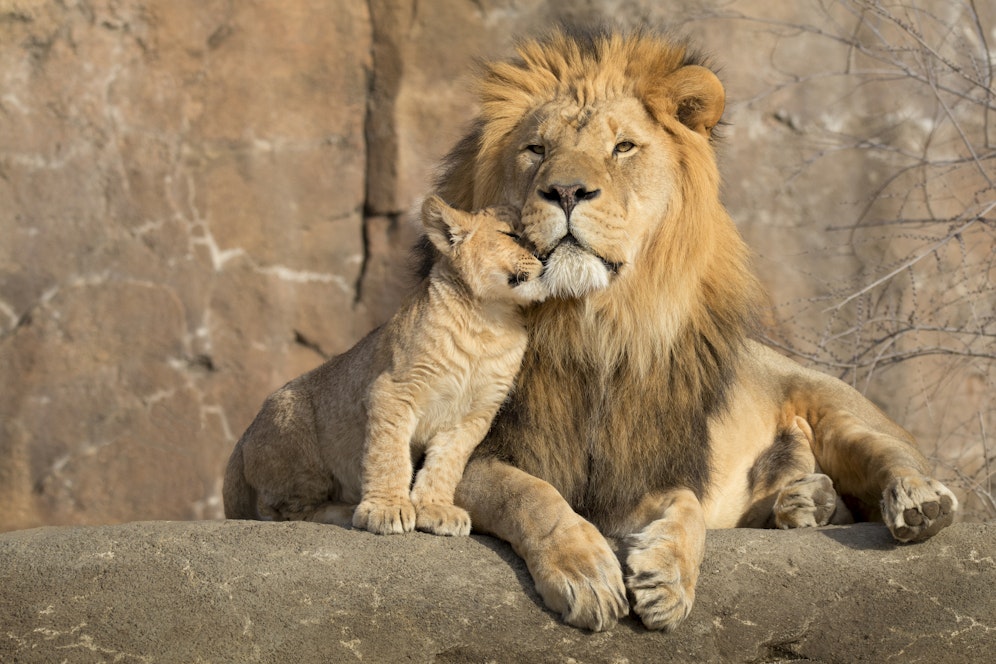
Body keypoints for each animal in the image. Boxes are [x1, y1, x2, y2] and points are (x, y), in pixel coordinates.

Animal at [223, 196, 547, 536]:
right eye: (511, 235)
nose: (545, 256)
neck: (489, 321)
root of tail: (242, 439)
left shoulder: (474, 415)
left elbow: (446, 464)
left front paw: (436, 509)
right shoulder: (394, 389)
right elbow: (389, 454)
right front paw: (386, 509)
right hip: (296, 430)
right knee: (284, 511)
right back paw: (346, 510)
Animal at [430, 27, 959, 632]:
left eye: (623, 148)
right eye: (536, 150)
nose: (565, 192)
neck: (591, 326)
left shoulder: (641, 470)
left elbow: (685, 505)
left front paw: (667, 579)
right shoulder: (466, 454)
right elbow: (530, 494)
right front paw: (585, 572)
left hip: (838, 411)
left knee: (893, 457)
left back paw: (916, 502)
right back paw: (803, 502)